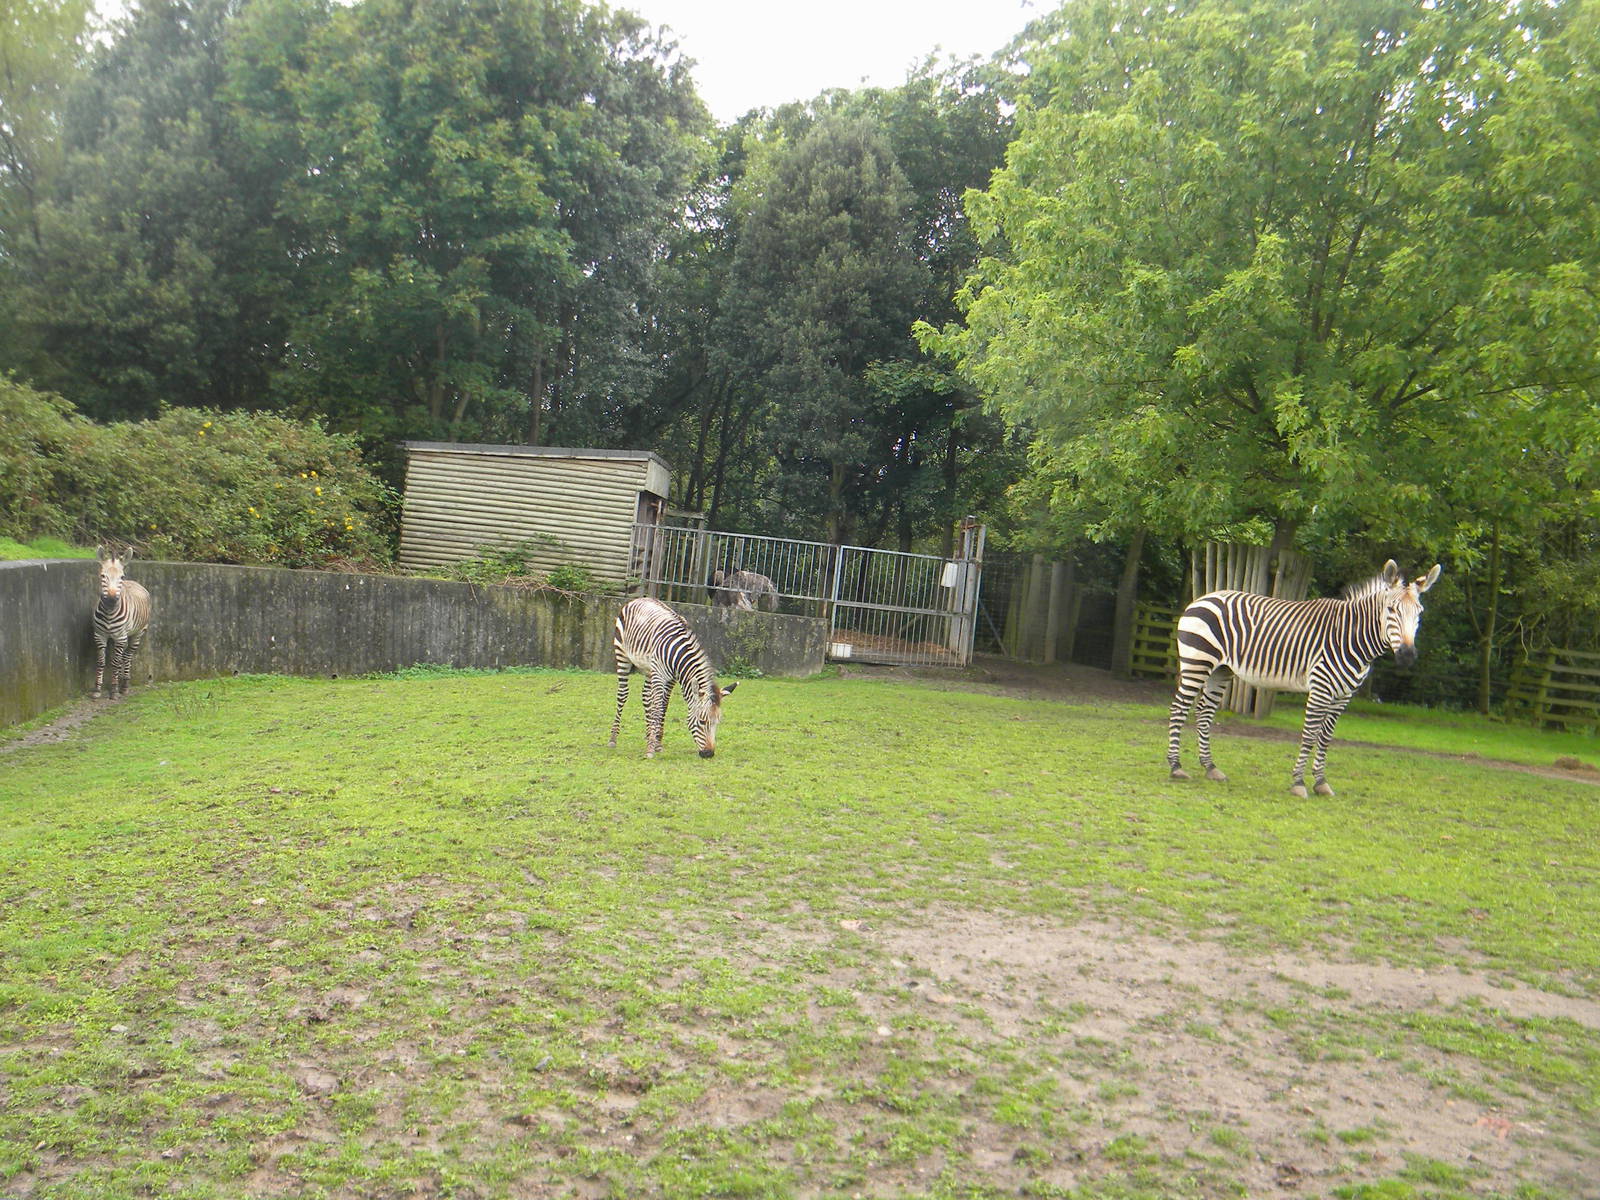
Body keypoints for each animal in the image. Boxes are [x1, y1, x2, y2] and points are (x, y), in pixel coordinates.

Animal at [93, 547, 153, 699]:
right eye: (103, 576)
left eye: (121, 577)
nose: (111, 600)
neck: (109, 613)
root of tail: (136, 583)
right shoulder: (99, 635)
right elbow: (101, 662)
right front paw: (97, 689)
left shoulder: (120, 637)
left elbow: (115, 663)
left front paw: (114, 691)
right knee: (121, 657)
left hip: (137, 633)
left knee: (127, 656)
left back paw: (124, 685)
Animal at [608, 597, 738, 758]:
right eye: (702, 721)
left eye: (717, 722)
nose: (709, 754)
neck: (678, 653)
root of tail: (640, 598)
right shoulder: (659, 676)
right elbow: (657, 708)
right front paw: (650, 749)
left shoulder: (671, 679)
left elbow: (663, 706)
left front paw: (656, 742)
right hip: (622, 655)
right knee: (623, 694)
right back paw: (613, 738)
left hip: (648, 668)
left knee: (646, 697)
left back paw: (648, 734)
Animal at [1167, 559, 1441, 797]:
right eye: (1391, 610)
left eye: (1419, 612)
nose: (1407, 655)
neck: (1351, 637)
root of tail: (1204, 597)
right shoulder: (1321, 687)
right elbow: (1309, 734)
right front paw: (1298, 783)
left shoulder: (1343, 696)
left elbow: (1325, 738)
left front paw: (1321, 782)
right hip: (1197, 662)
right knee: (1179, 709)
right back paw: (1175, 766)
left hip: (1221, 670)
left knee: (1204, 712)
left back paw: (1210, 767)